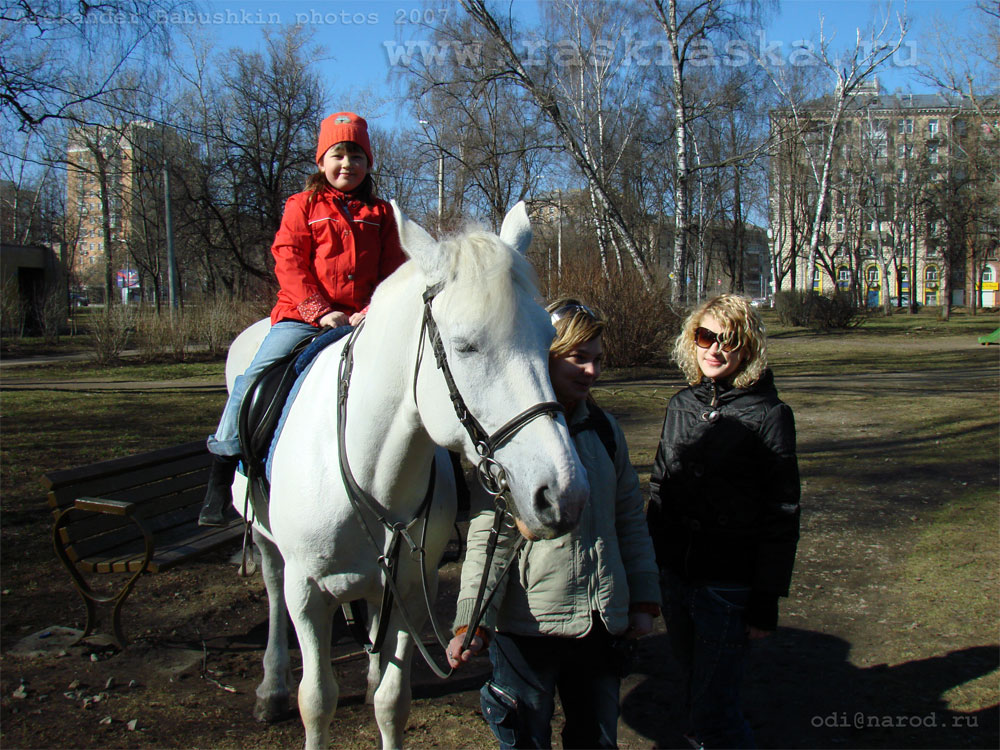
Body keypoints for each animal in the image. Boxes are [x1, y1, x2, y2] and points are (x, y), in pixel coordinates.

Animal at [225, 203, 584, 748]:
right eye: (464, 346)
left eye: (547, 341)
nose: (563, 494)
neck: (371, 467)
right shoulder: (307, 593)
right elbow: (317, 701)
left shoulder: (412, 590)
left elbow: (392, 703)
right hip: (269, 544)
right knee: (269, 586)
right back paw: (272, 685)